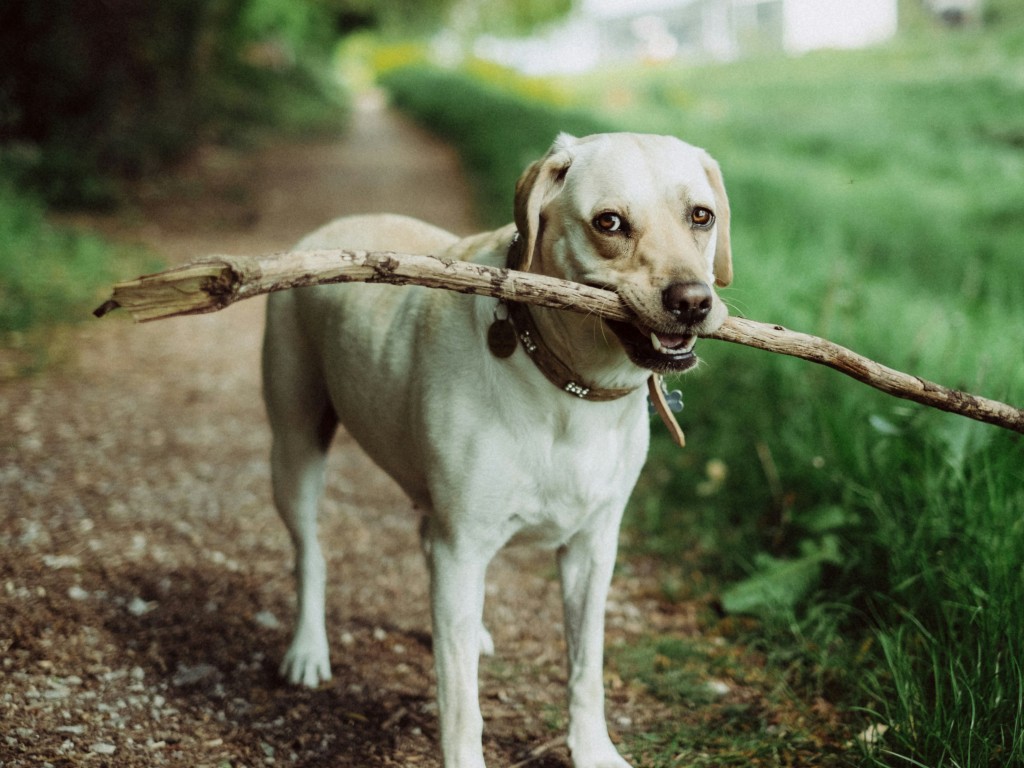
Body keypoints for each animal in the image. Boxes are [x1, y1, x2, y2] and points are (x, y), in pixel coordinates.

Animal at [260, 134, 733, 768]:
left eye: (701, 216)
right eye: (609, 222)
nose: (692, 301)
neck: (569, 388)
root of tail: (325, 230)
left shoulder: (592, 548)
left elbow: (586, 668)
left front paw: (593, 749)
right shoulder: (463, 547)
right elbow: (462, 705)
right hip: (295, 446)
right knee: (310, 552)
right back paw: (308, 650)